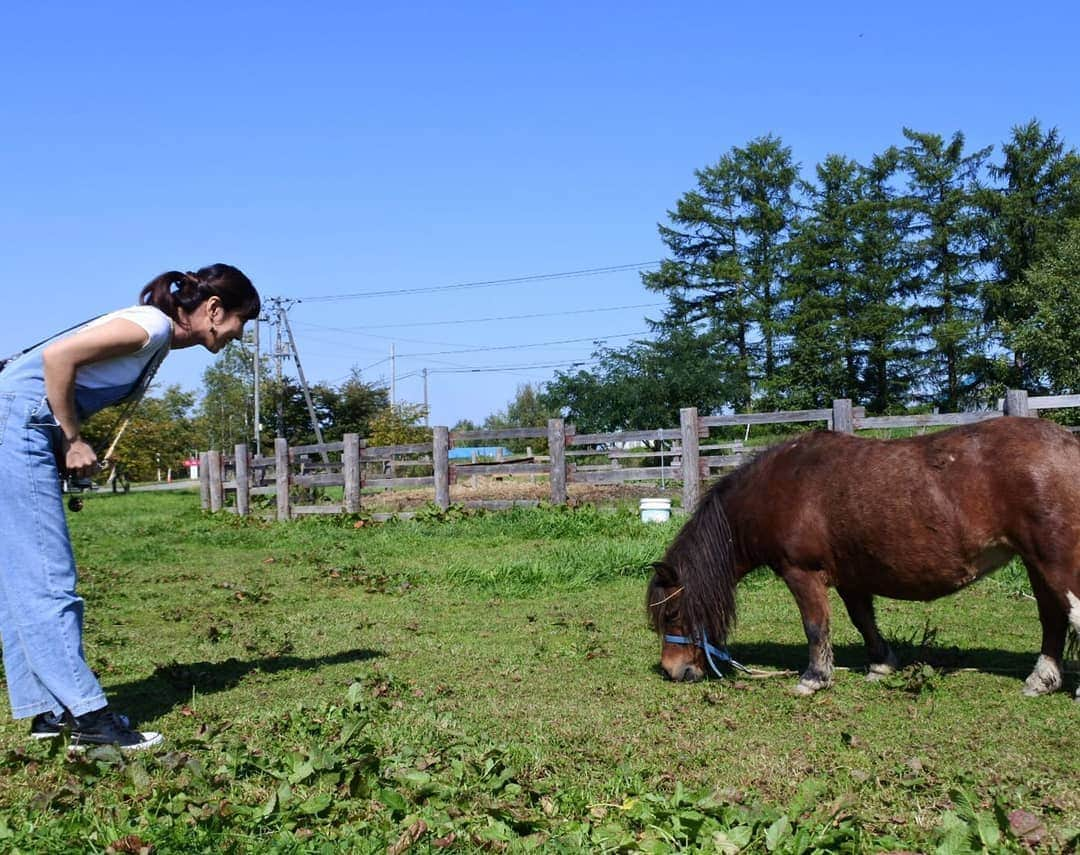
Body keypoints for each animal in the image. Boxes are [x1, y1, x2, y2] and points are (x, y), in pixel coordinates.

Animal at [648, 416, 1080, 699]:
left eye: (672, 613)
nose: (672, 671)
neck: (777, 489)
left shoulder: (802, 573)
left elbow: (815, 626)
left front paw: (814, 678)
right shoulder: (850, 576)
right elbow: (863, 621)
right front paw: (881, 664)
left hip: (1057, 562)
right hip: (1036, 562)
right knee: (1052, 618)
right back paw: (1041, 680)